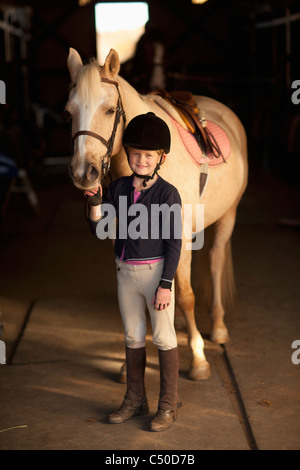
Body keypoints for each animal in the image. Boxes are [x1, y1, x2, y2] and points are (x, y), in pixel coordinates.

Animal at [66, 47, 248, 380]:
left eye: (110, 110)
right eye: (69, 112)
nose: (84, 174)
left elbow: (187, 295)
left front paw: (198, 358)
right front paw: (128, 364)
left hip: (228, 216)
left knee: (215, 262)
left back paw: (217, 326)